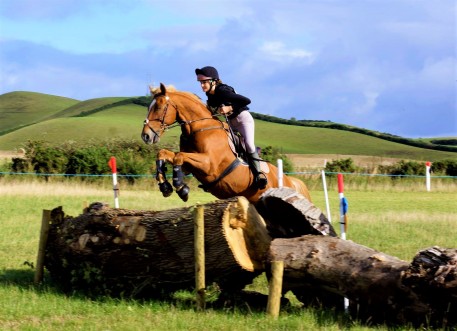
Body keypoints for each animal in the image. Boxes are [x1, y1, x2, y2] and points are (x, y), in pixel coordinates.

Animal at [140, 83, 310, 205]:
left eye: (159, 106)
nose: (146, 136)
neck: (200, 128)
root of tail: (289, 181)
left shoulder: (209, 164)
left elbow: (179, 156)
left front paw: (181, 188)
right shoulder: (190, 167)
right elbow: (164, 154)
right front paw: (165, 187)